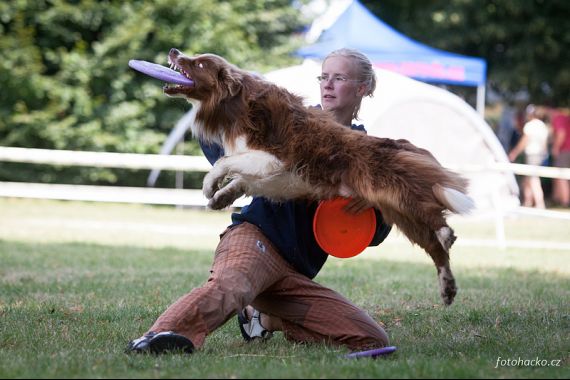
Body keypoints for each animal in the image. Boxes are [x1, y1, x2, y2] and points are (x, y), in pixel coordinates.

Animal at [162, 49, 472, 306]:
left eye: (200, 63)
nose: (174, 51)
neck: (235, 104)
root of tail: (407, 146)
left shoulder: (274, 158)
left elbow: (224, 162)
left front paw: (209, 185)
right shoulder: (263, 169)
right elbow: (238, 179)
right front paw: (219, 197)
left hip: (396, 190)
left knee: (434, 216)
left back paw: (446, 234)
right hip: (398, 212)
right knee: (434, 248)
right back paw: (447, 287)